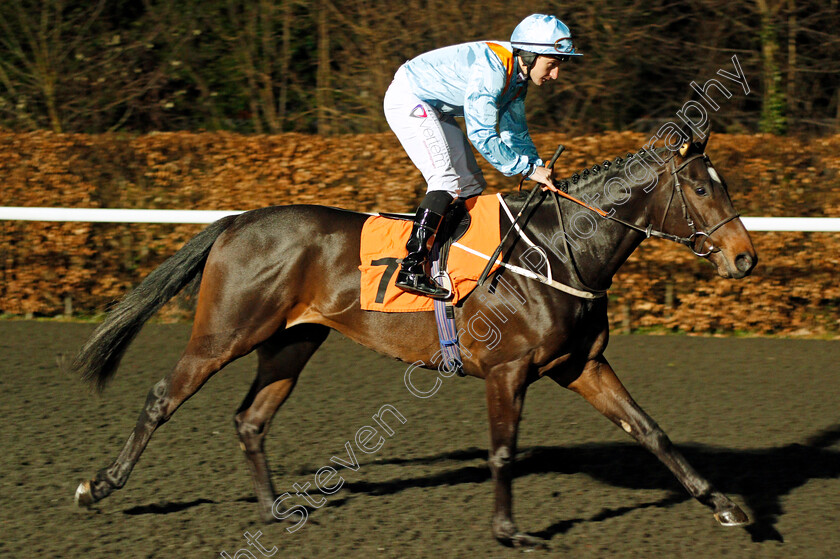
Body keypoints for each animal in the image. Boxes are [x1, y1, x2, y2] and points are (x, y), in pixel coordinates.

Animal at [72, 128, 756, 552]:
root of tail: (238, 220)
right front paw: (509, 531)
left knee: (250, 419)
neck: (560, 252)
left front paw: (725, 504)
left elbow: (650, 431)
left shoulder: (581, 364)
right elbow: (502, 453)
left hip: (294, 341)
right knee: (164, 396)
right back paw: (99, 485)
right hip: (227, 331)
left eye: (722, 182)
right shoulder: (508, 370)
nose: (745, 257)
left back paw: (273, 511)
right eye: (700, 187)